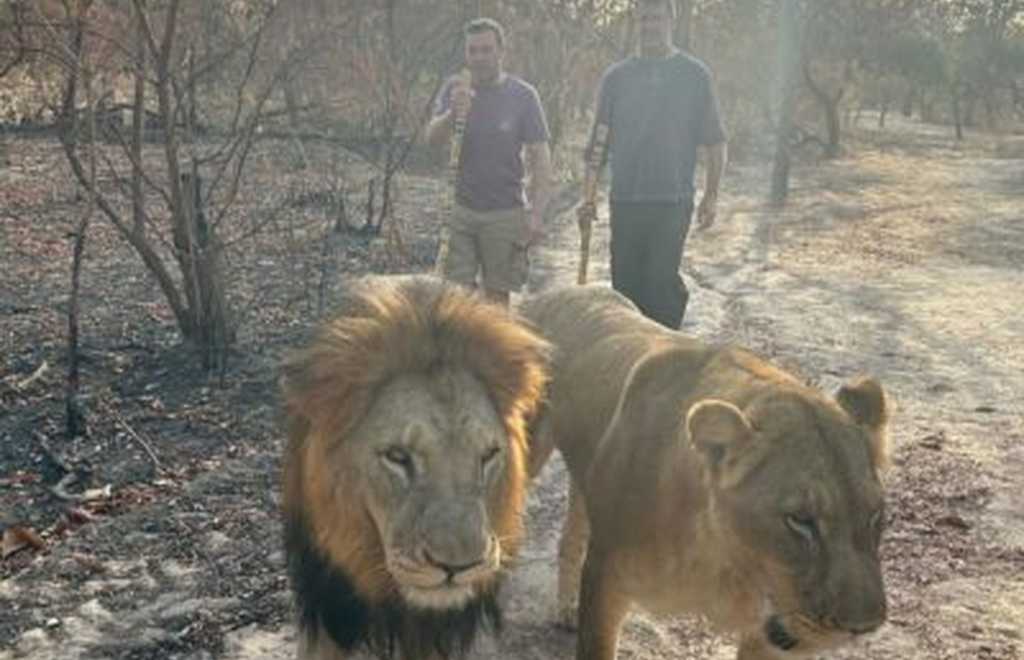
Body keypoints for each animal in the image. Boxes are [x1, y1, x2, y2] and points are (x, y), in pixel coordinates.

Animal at [519, 284, 890, 660]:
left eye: (876, 515)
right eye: (799, 520)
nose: (862, 627)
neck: (725, 562)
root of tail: (565, 289)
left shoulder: (763, 633)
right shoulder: (605, 578)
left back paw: (567, 609)